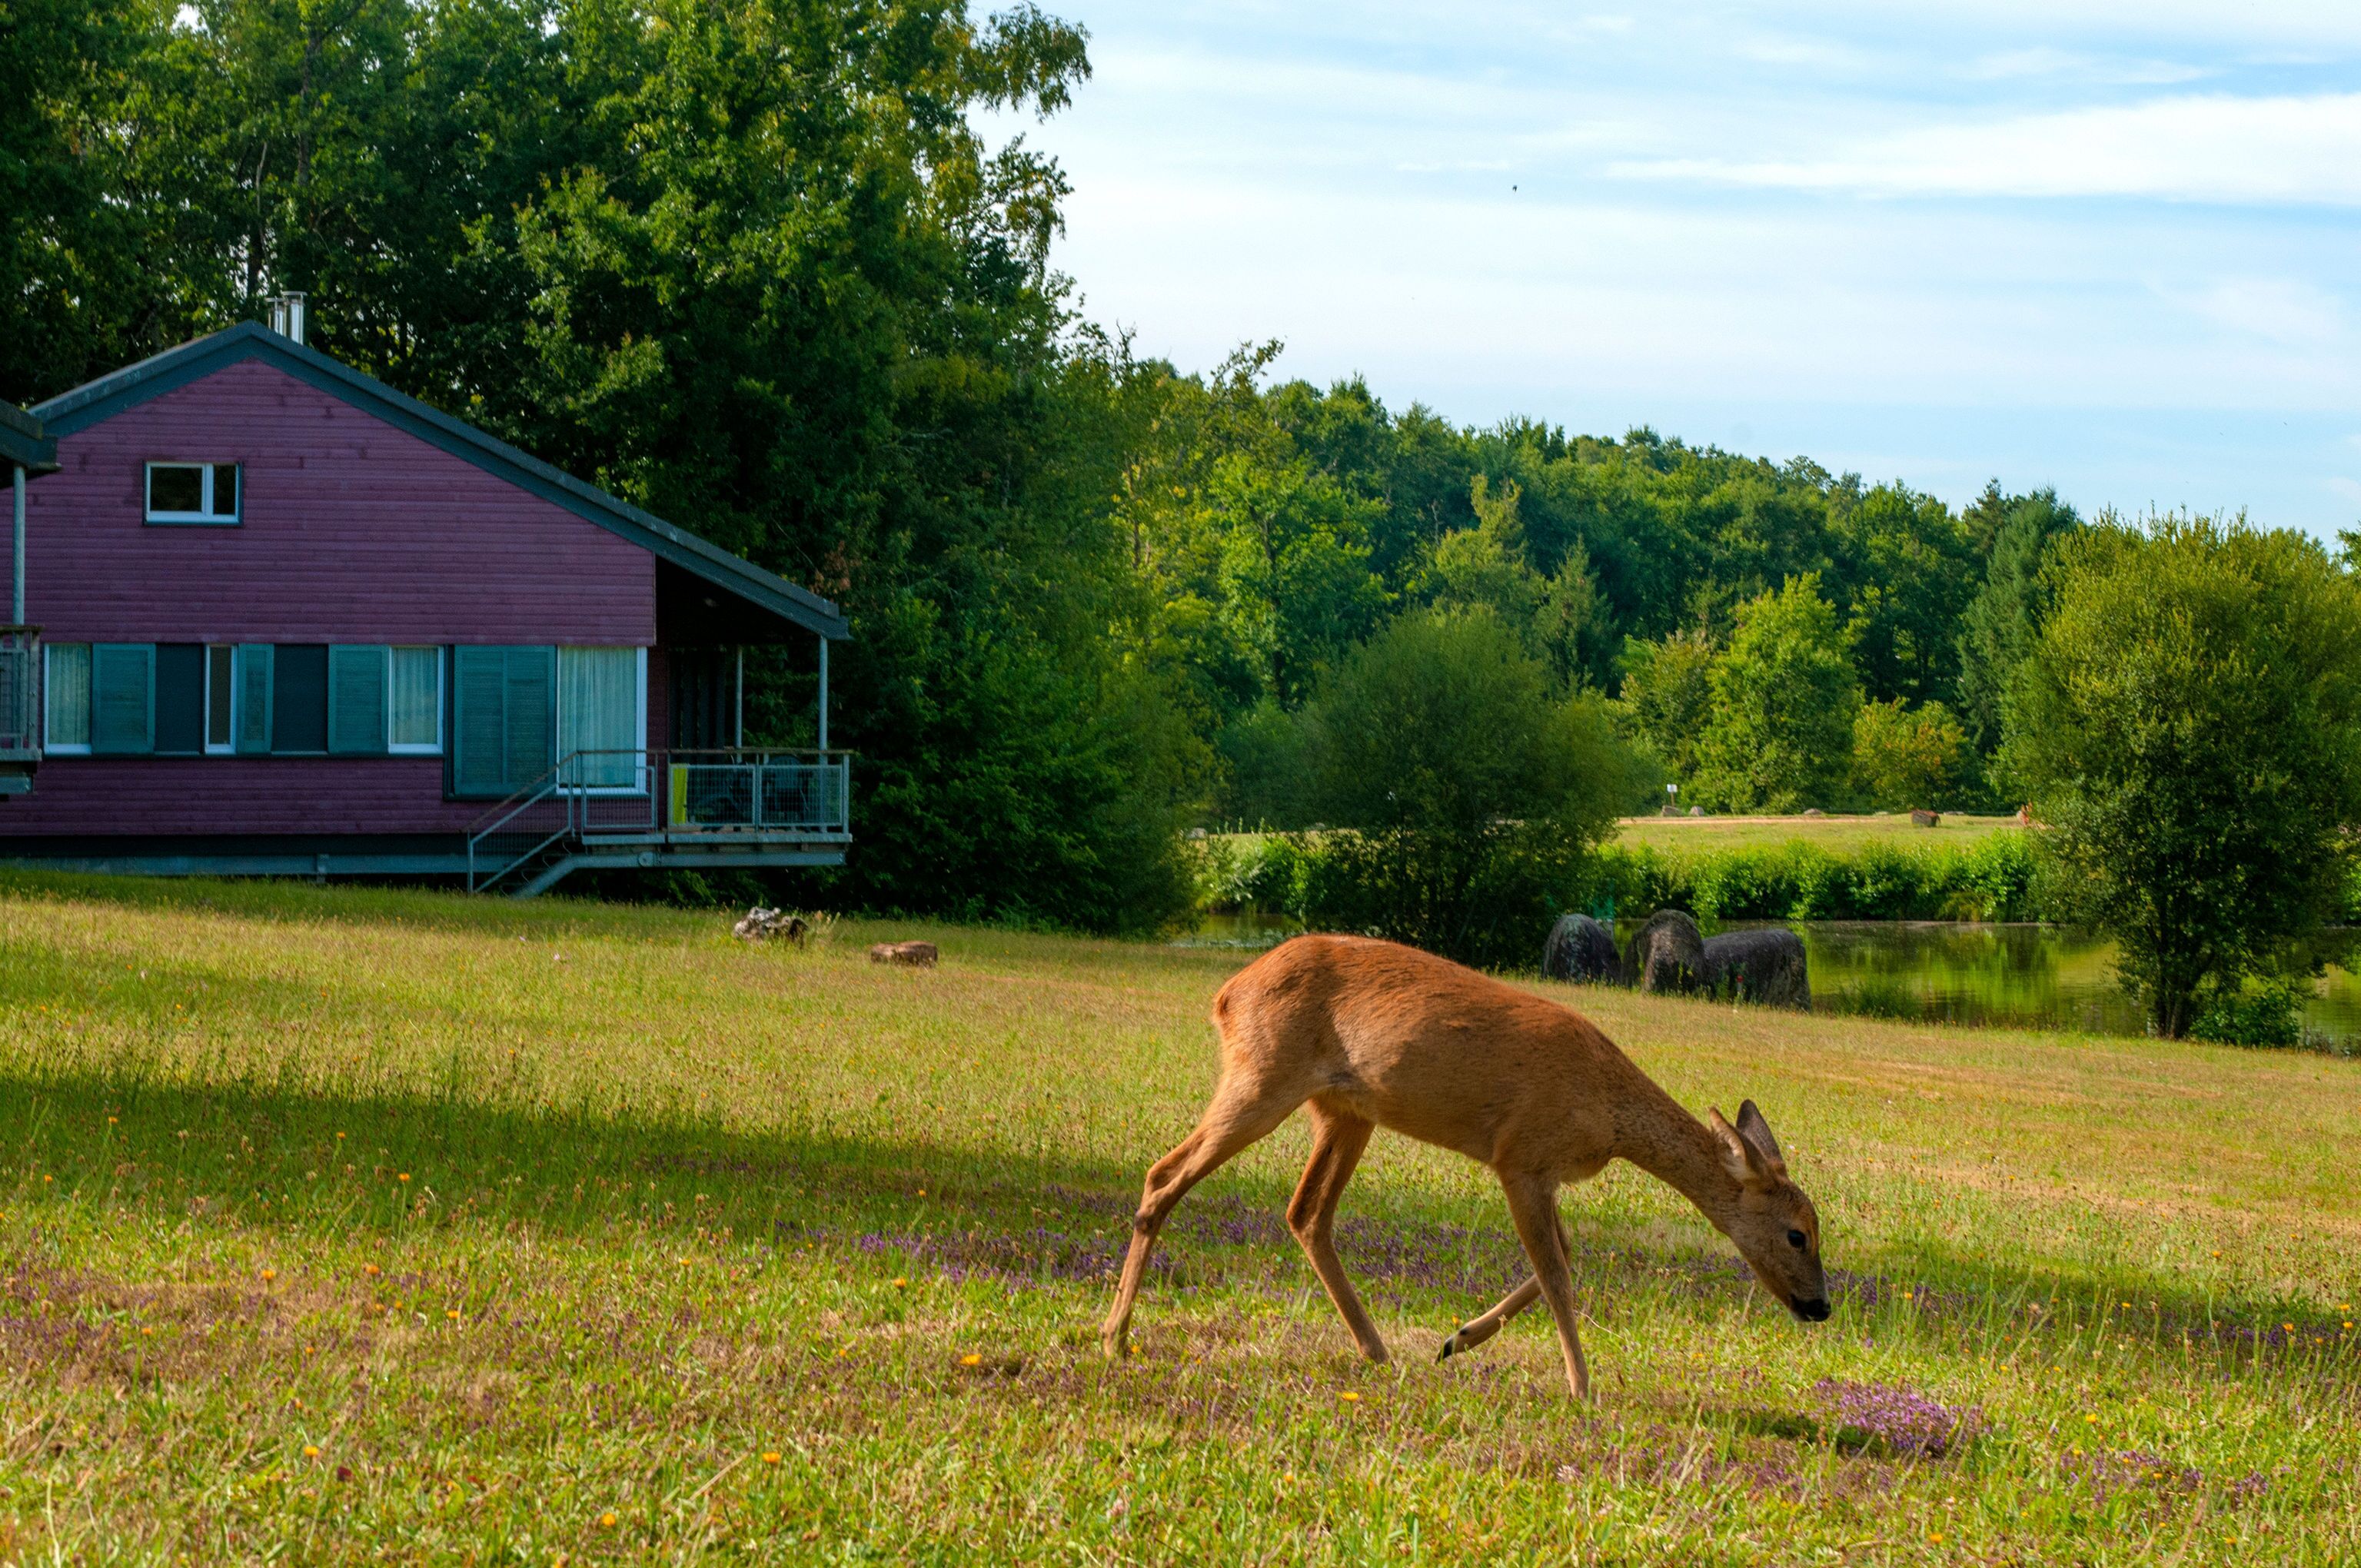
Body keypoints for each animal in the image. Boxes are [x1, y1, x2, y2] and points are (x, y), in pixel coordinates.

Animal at [1099, 934, 1830, 1399]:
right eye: (1797, 1233)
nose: (1820, 1306)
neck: (1607, 1115)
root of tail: (1226, 993)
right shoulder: (1520, 1155)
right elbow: (1557, 1271)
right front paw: (1582, 1386)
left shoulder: (1544, 1171)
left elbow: (1563, 1258)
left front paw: (1458, 1340)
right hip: (1264, 1075)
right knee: (1164, 1175)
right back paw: (1114, 1336)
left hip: (1343, 1109)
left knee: (1305, 1212)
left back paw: (1376, 1349)